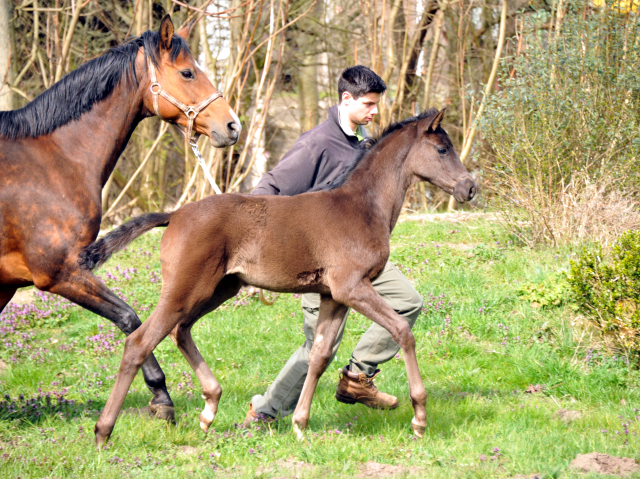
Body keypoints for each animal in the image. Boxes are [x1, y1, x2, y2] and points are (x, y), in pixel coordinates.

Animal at [81, 108, 476, 446]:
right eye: (442, 149)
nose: (469, 188)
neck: (362, 207)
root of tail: (174, 215)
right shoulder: (352, 288)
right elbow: (402, 331)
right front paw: (419, 417)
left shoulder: (333, 296)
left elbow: (319, 355)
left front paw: (300, 424)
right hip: (184, 290)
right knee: (139, 343)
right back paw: (103, 432)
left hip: (218, 289)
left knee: (181, 331)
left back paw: (210, 408)